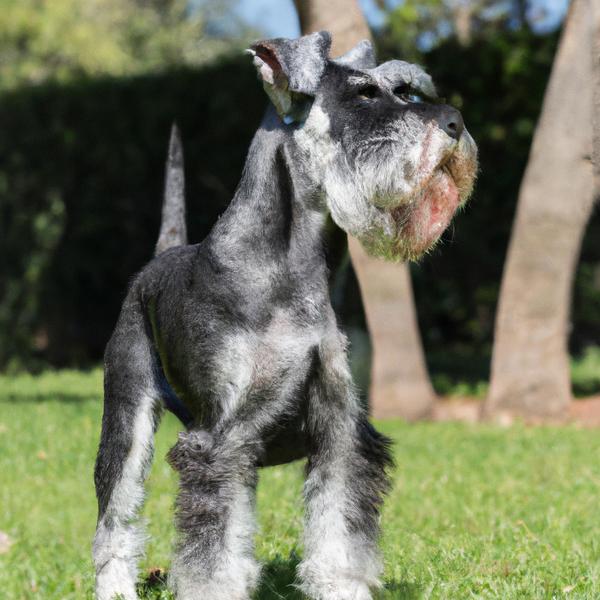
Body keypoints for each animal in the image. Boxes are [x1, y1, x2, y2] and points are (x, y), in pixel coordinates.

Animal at [92, 31, 478, 600]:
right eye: (363, 94)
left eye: (405, 90)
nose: (454, 121)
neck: (298, 268)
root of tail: (158, 259)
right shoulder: (218, 440)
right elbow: (212, 551)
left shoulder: (343, 429)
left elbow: (339, 531)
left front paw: (342, 588)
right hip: (128, 416)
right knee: (115, 517)